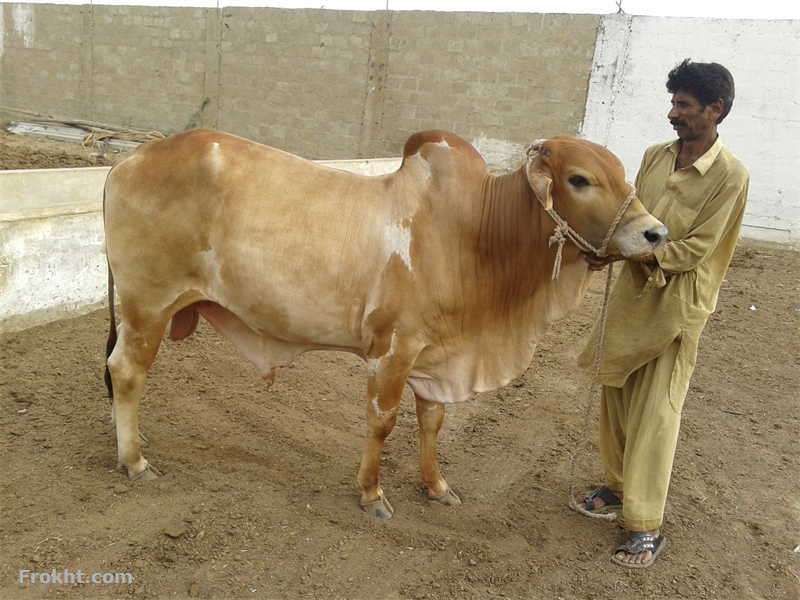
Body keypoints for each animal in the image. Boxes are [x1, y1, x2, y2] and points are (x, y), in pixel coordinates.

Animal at [103, 129, 667, 519]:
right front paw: (372, 492)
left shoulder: (436, 356)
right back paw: (134, 461)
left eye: (625, 174)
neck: (474, 236)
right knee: (126, 371)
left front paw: (436, 487)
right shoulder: (395, 348)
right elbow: (383, 421)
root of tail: (129, 158)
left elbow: (432, 422)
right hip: (148, 304)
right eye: (580, 179)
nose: (655, 233)